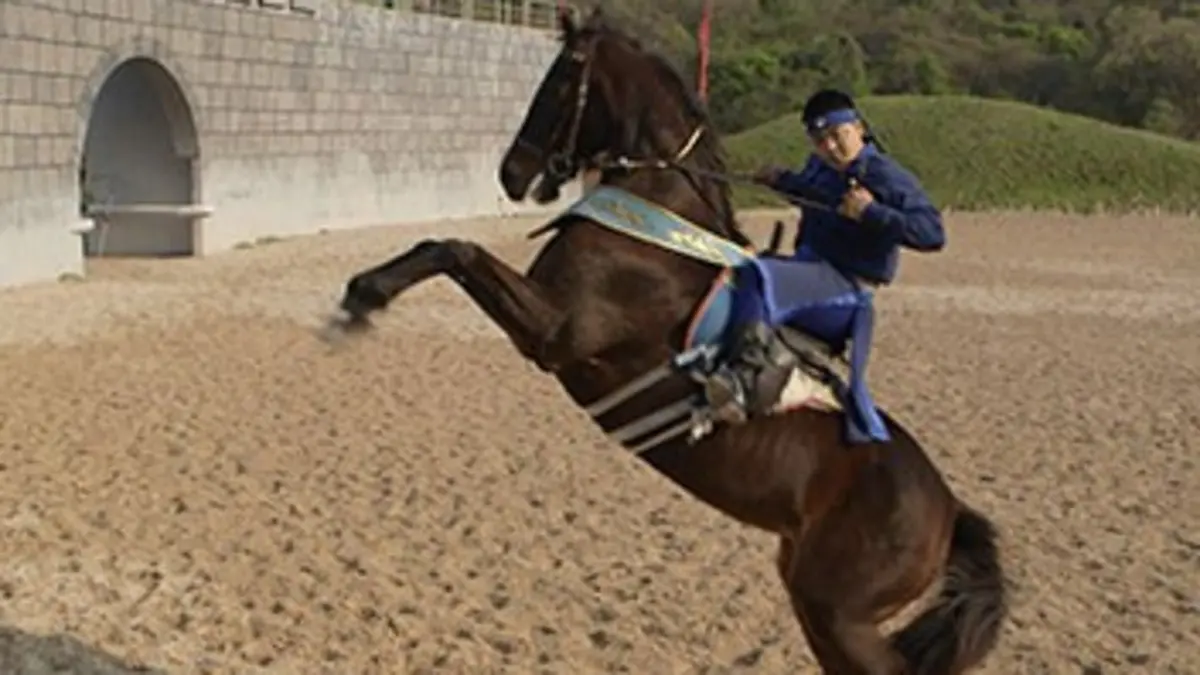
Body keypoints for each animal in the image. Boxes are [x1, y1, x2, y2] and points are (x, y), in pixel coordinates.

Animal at [330, 7, 1009, 673]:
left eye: (558, 80)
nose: (512, 172)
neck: (654, 216)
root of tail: (949, 511)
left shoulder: (553, 330)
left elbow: (453, 248)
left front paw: (360, 299)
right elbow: (446, 246)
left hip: (839, 616)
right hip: (817, 606)